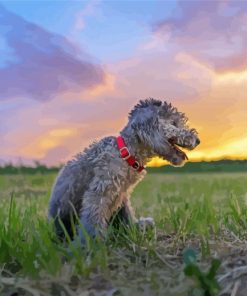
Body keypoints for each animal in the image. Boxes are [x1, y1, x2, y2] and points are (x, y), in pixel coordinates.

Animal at [48, 99, 201, 243]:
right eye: (174, 123)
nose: (198, 140)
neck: (126, 152)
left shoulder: (122, 194)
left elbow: (127, 214)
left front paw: (135, 227)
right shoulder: (99, 192)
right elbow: (92, 220)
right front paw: (92, 243)